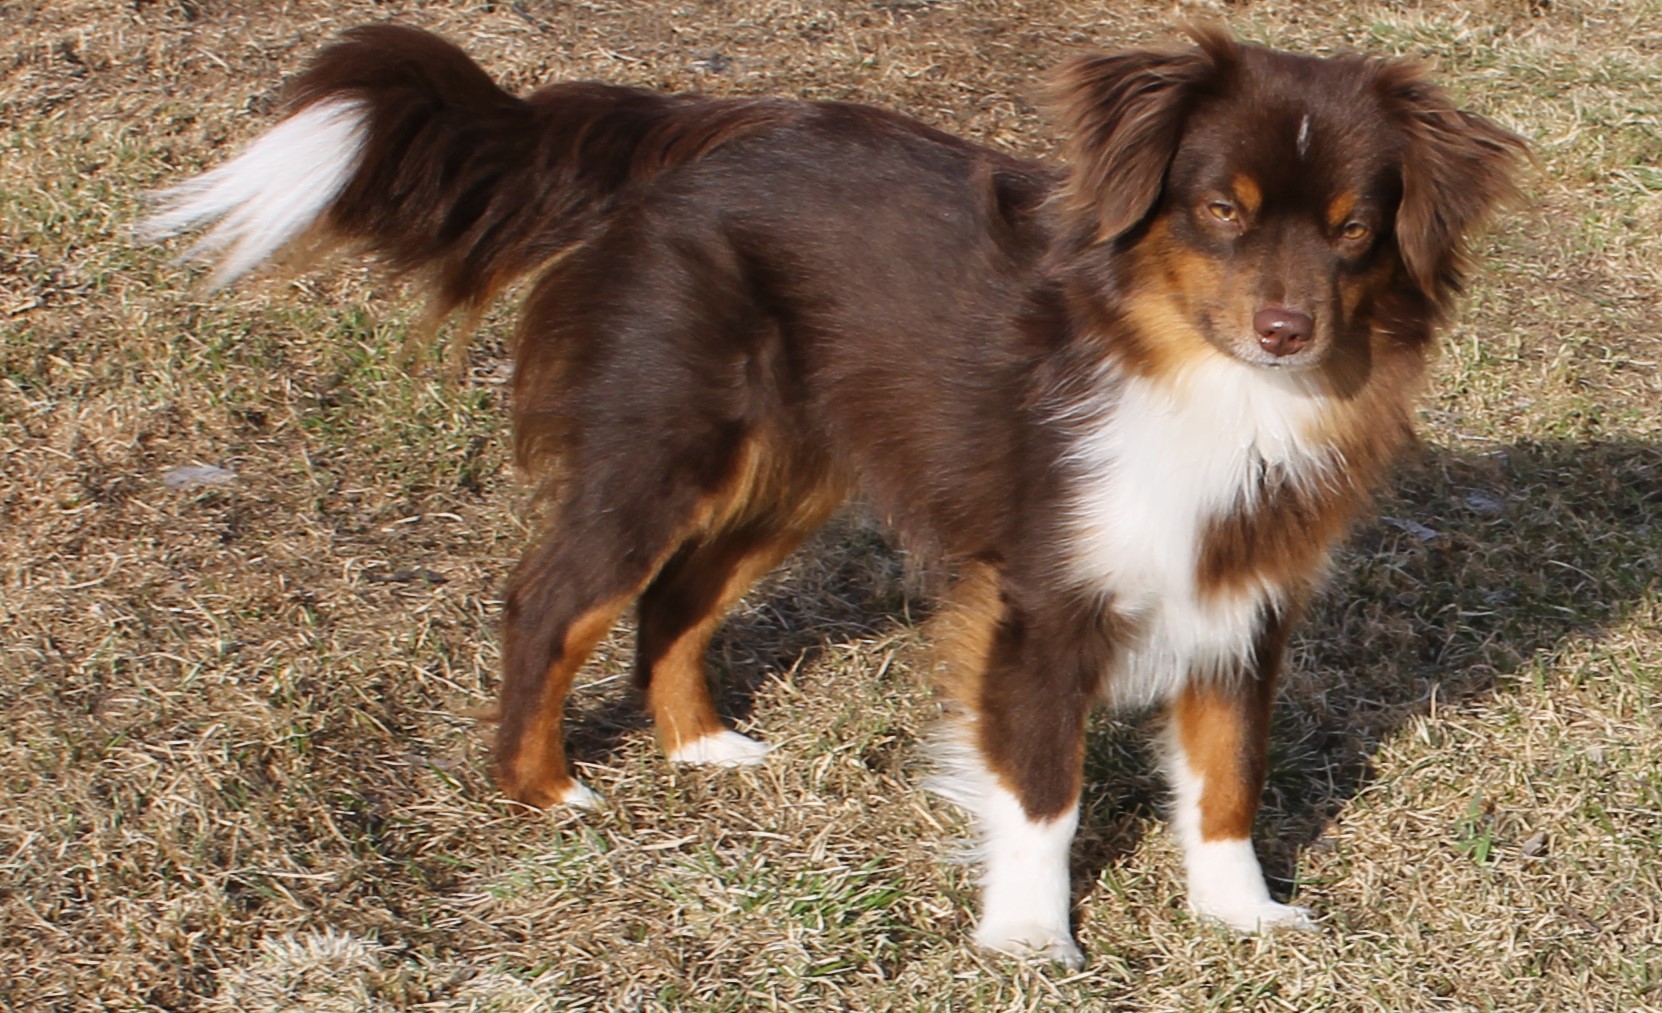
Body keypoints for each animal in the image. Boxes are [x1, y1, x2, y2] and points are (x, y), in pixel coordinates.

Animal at [146, 25, 1529, 963]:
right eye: (1220, 211)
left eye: (1353, 231)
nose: (1289, 330)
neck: (1203, 382)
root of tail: (688, 129)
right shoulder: (1044, 597)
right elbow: (1043, 786)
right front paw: (1031, 940)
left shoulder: (1243, 593)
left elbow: (1231, 769)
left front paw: (1242, 912)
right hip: (665, 447)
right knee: (550, 598)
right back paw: (543, 788)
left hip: (784, 471)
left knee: (678, 603)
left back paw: (700, 745)